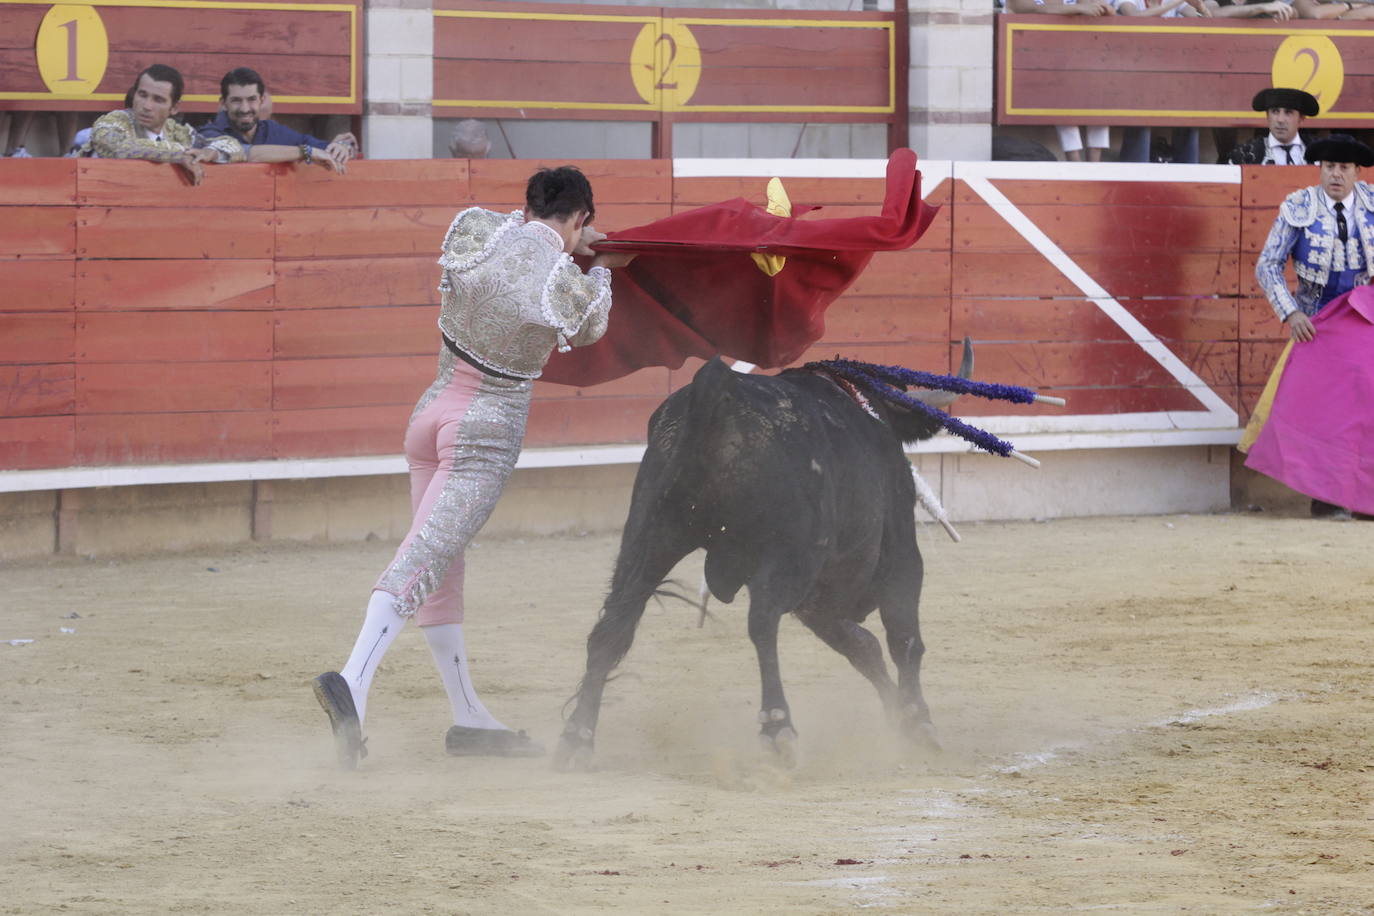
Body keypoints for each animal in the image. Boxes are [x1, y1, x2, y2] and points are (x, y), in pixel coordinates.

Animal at [552, 354, 961, 769]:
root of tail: (718, 390)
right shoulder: (899, 555)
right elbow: (902, 640)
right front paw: (918, 722)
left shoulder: (815, 600)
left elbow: (863, 647)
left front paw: (899, 716)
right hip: (787, 556)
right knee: (763, 622)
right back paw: (778, 727)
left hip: (648, 537)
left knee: (612, 627)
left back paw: (577, 737)